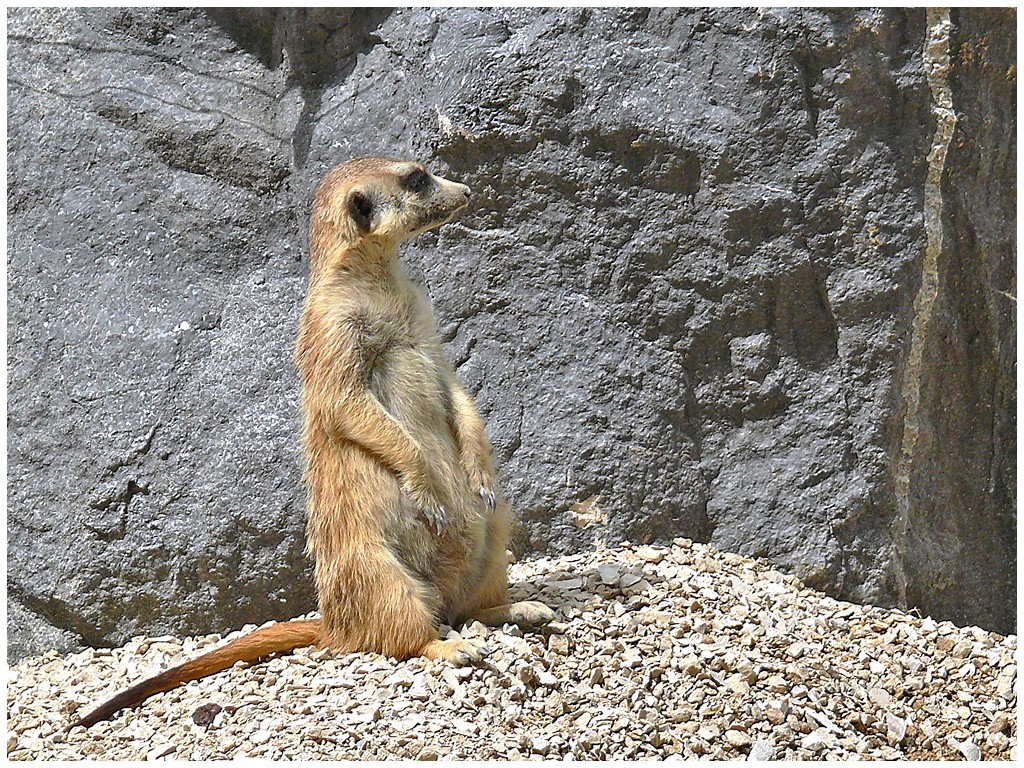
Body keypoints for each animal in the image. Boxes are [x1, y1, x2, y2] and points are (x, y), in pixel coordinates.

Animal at [72, 157, 552, 729]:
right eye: (417, 180)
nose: (466, 191)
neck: (377, 282)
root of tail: (335, 624)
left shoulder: (425, 323)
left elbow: (453, 386)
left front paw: (480, 467)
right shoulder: (330, 332)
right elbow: (344, 403)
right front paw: (423, 482)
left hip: (491, 537)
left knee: (474, 587)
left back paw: (511, 607)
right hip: (369, 566)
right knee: (398, 627)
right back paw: (448, 645)